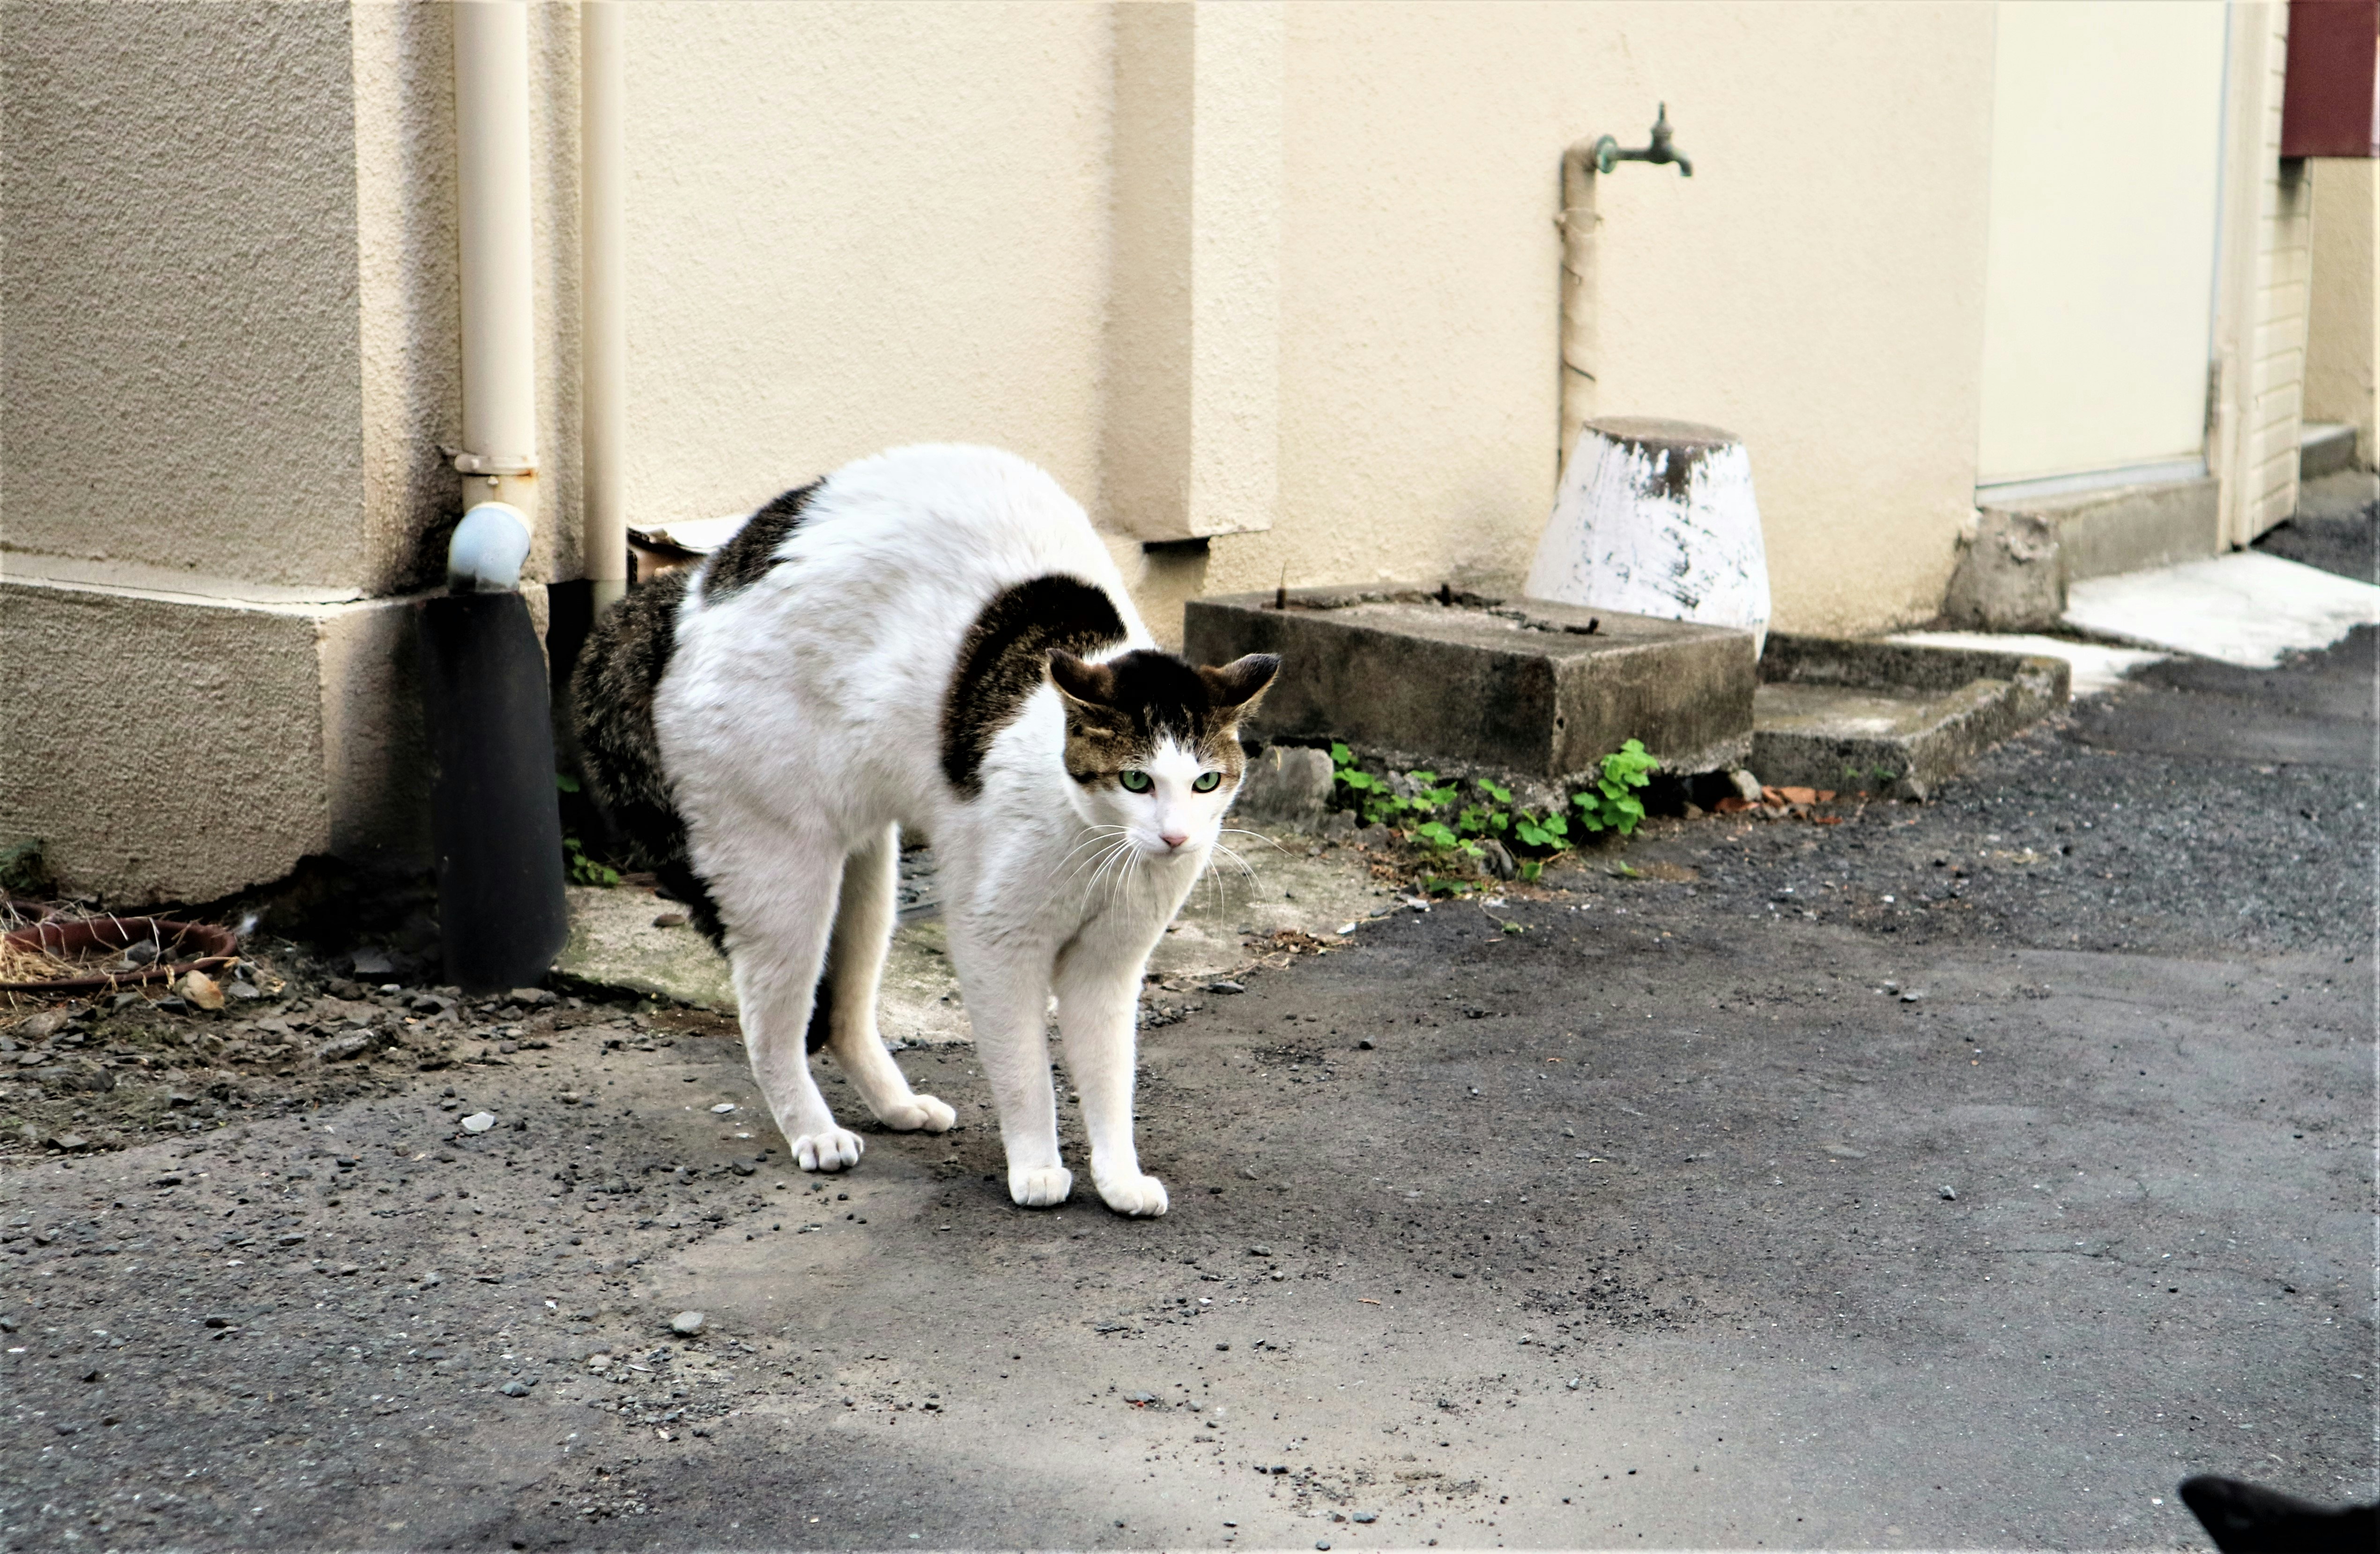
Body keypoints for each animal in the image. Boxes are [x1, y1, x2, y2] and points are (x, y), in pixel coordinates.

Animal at [566, 440, 1275, 1213]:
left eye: (1205, 782)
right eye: (1136, 781)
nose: (1176, 838)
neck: (1096, 843)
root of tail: (690, 592)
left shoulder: (1109, 965)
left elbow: (1110, 1077)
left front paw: (1118, 1177)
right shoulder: (996, 941)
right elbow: (1025, 1069)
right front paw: (1035, 1167)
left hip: (867, 880)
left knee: (844, 1014)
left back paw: (897, 1106)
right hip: (781, 872)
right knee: (768, 1022)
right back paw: (815, 1132)